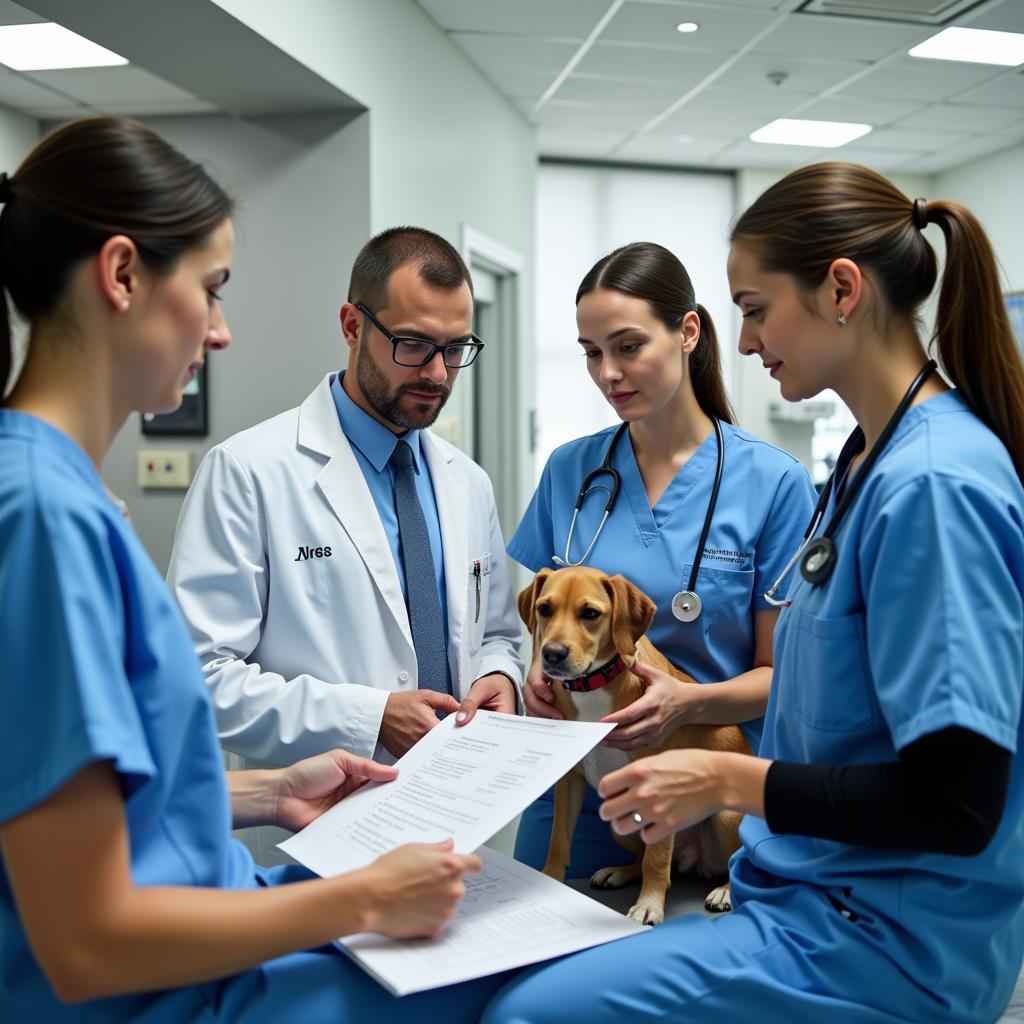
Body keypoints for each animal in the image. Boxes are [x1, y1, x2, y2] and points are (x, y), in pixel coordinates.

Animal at [520, 565, 753, 925]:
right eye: (544, 609)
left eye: (590, 613)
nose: (552, 654)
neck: (592, 689)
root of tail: (695, 860)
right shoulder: (569, 782)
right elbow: (558, 840)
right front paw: (550, 879)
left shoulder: (660, 787)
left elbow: (656, 862)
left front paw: (649, 905)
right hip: (622, 822)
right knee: (654, 861)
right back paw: (619, 872)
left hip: (726, 817)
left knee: (728, 861)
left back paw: (725, 890)